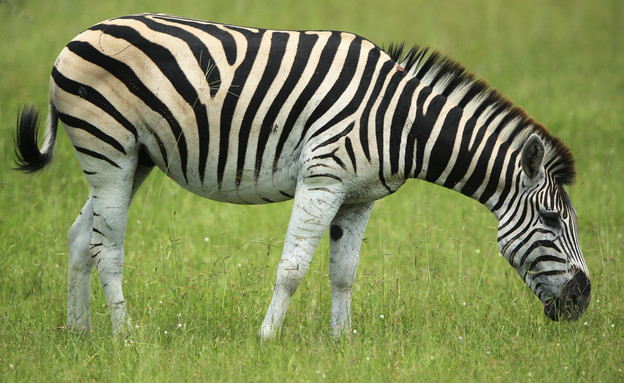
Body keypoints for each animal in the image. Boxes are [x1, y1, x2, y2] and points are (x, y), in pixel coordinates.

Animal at [13, 14, 588, 340]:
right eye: (551, 218)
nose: (583, 302)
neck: (403, 123)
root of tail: (82, 33)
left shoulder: (359, 197)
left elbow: (344, 272)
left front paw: (341, 344)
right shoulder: (323, 179)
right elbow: (292, 268)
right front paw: (266, 339)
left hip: (135, 158)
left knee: (80, 236)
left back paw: (81, 334)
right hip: (107, 147)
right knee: (107, 248)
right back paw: (124, 337)